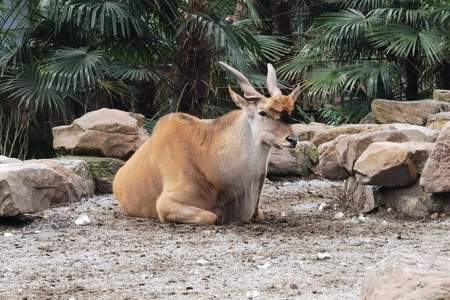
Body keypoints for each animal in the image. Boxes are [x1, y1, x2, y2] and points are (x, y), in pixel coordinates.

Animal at [112, 62, 298, 224]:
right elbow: (212, 217)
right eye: (262, 112)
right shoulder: (166, 205)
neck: (206, 157)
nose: (292, 140)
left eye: (289, 113)